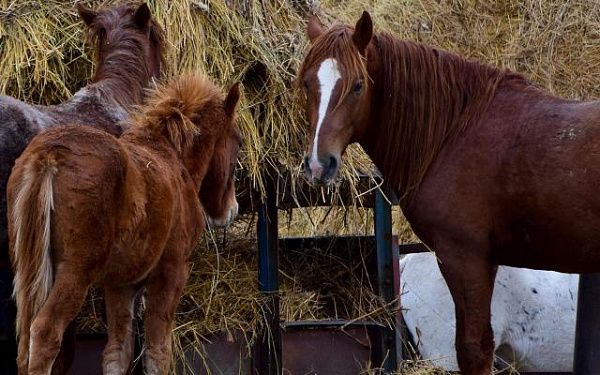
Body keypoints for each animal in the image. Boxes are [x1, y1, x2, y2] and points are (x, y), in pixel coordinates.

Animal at [7, 74, 240, 375]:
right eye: (238, 141)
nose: (231, 210)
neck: (170, 157)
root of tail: (48, 155)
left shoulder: (120, 284)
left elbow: (117, 352)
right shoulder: (172, 272)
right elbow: (157, 352)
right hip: (75, 273)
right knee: (45, 332)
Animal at [302, 11, 600, 375]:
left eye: (358, 85)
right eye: (306, 84)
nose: (319, 164)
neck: (455, 132)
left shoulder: (463, 257)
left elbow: (473, 349)